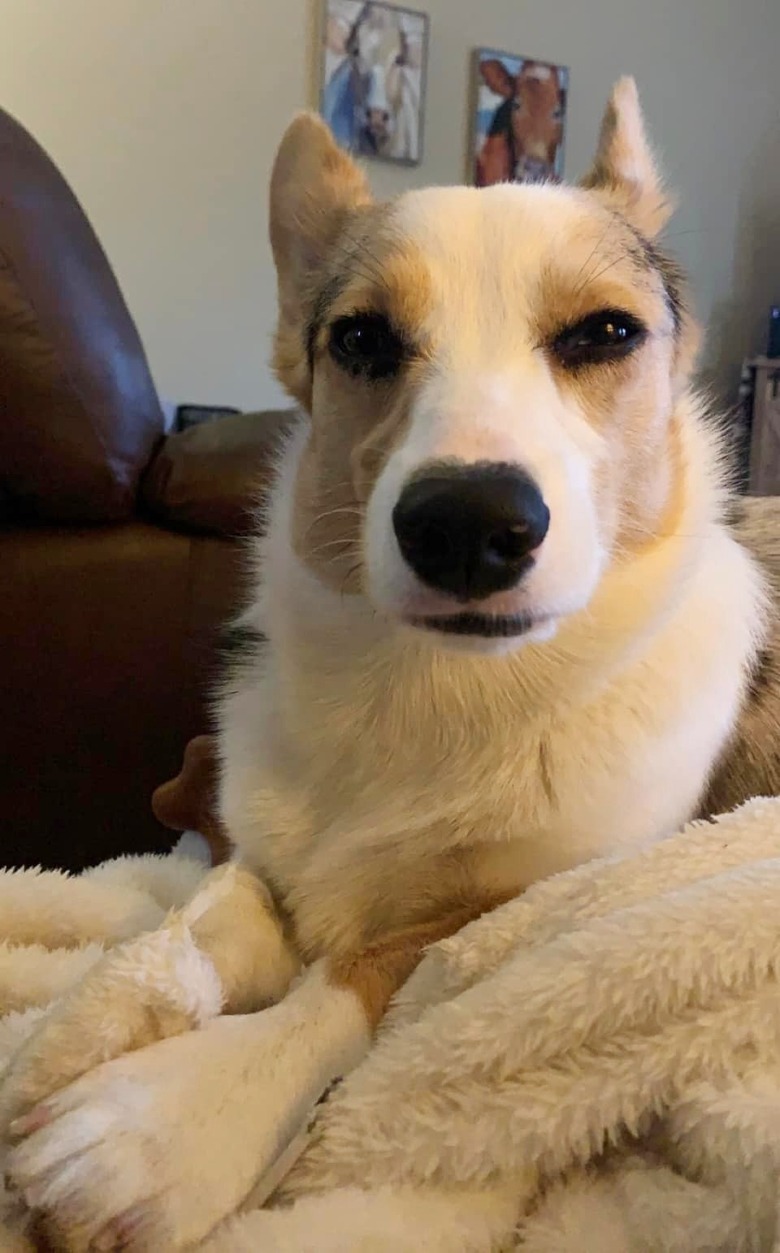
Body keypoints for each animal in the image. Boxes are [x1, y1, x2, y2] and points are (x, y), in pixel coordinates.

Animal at [1, 80, 780, 1253]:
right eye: (362, 338)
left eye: (606, 332)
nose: (467, 524)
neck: (427, 692)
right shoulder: (258, 851)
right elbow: (217, 915)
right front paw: (117, 1009)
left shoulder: (519, 902)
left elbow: (348, 979)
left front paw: (164, 1118)